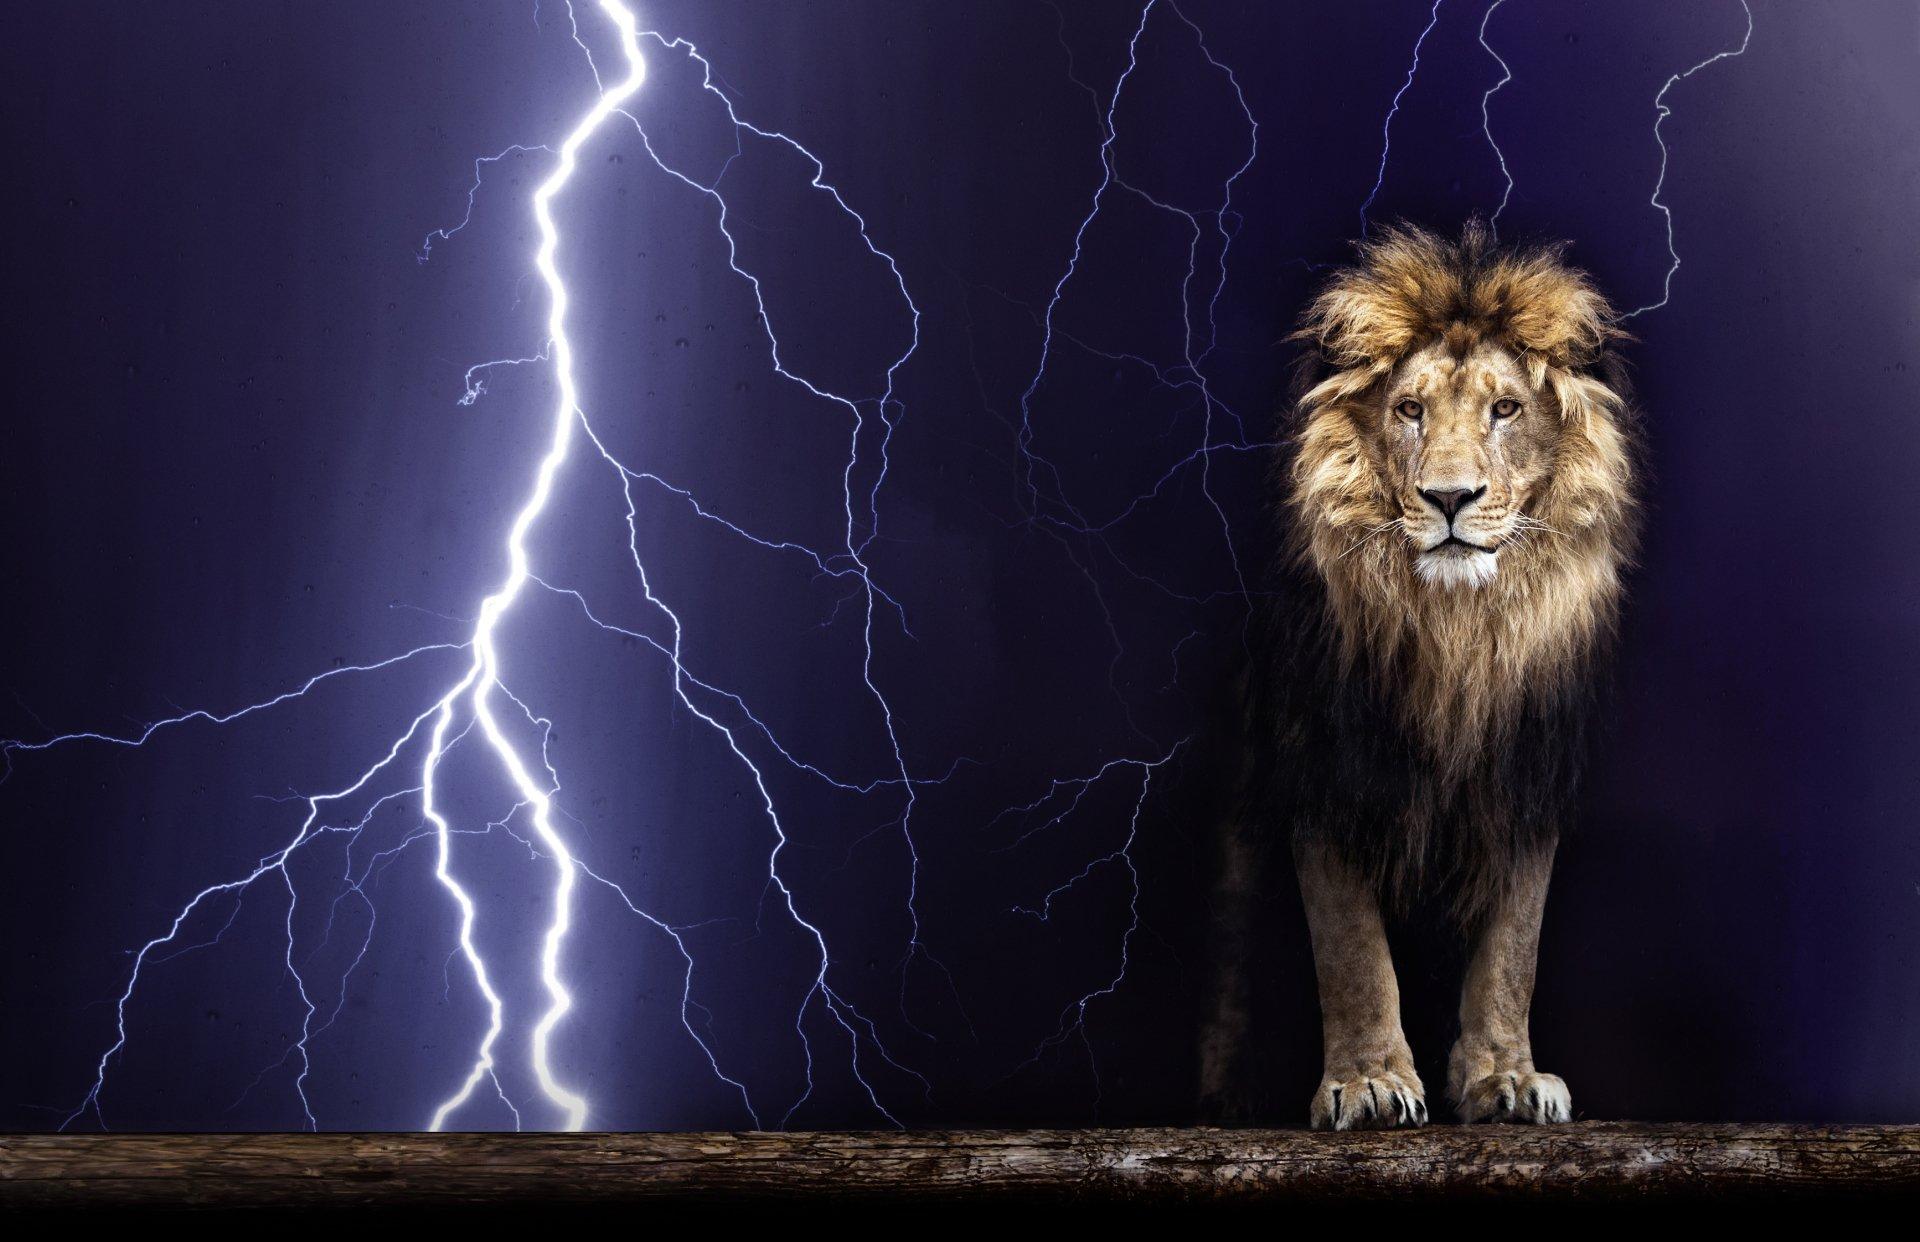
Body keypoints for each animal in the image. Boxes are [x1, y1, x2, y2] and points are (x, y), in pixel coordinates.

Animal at [1199, 222, 1640, 1129]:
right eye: (1410, 410)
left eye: (1505, 409)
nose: (1448, 497)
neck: (1457, 634)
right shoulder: (1327, 767)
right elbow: (1351, 948)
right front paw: (1369, 1082)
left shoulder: (1525, 774)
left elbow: (1513, 948)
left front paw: (1506, 1079)